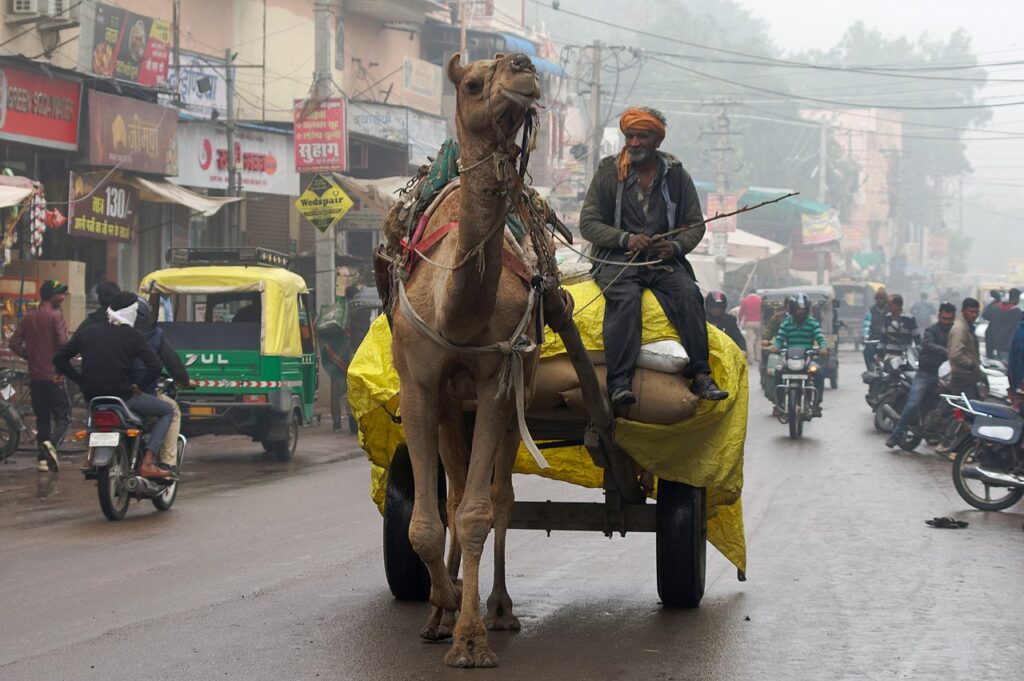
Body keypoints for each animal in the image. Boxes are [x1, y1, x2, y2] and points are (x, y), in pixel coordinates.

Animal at [391, 51, 548, 663]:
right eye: (475, 83)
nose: (526, 67)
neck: (452, 312)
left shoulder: (495, 383)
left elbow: (480, 511)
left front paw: (471, 636)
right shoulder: (419, 384)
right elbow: (425, 523)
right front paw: (446, 603)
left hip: (513, 391)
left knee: (499, 497)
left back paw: (499, 607)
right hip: (447, 406)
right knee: (454, 490)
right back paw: (443, 606)